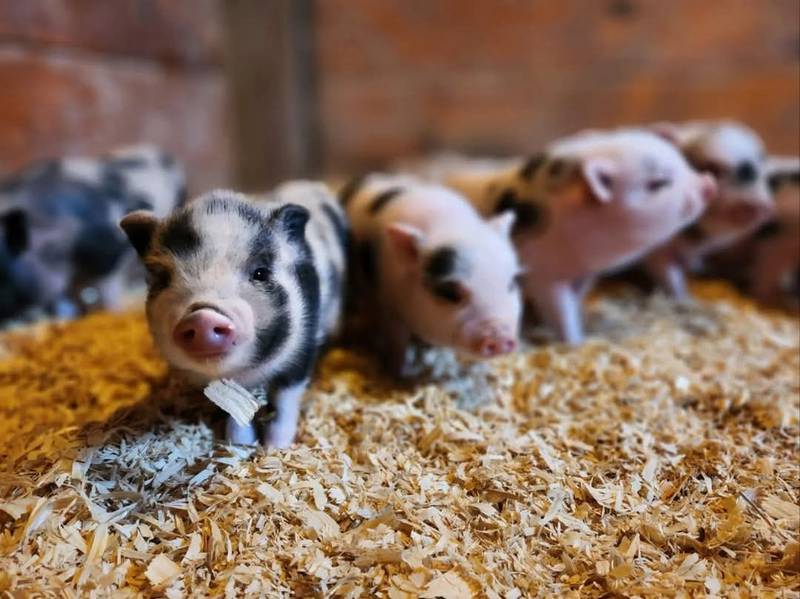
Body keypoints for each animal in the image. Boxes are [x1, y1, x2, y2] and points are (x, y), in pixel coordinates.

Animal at [119, 182, 348, 447]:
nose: (203, 317)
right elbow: (231, 404)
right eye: (164, 278)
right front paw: (239, 442)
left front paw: (274, 446)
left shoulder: (303, 348)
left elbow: (284, 398)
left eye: (260, 273)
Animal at [340, 173, 522, 375]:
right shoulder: (391, 306)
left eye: (512, 282)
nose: (500, 337)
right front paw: (398, 374)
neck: (449, 226)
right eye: (450, 292)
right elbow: (396, 341)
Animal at [442, 128, 717, 344]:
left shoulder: (584, 274)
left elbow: (577, 299)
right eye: (658, 183)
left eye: (683, 161)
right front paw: (575, 342)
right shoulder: (545, 276)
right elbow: (560, 311)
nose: (708, 183)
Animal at [643, 121, 775, 299]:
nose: (767, 207)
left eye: (758, 167)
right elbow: (670, 276)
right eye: (711, 169)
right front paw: (684, 298)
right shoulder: (658, 253)